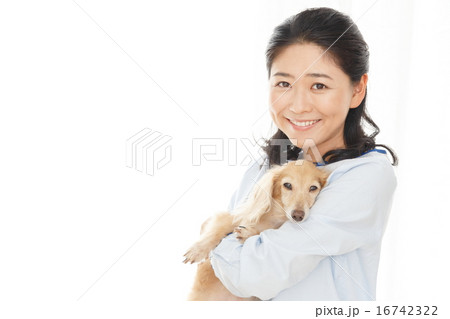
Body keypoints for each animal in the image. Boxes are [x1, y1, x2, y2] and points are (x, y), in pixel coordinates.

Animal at [184, 161, 330, 302]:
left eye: (313, 188)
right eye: (287, 185)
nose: (298, 216)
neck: (277, 217)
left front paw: (248, 233)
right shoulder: (236, 216)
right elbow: (218, 229)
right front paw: (197, 250)